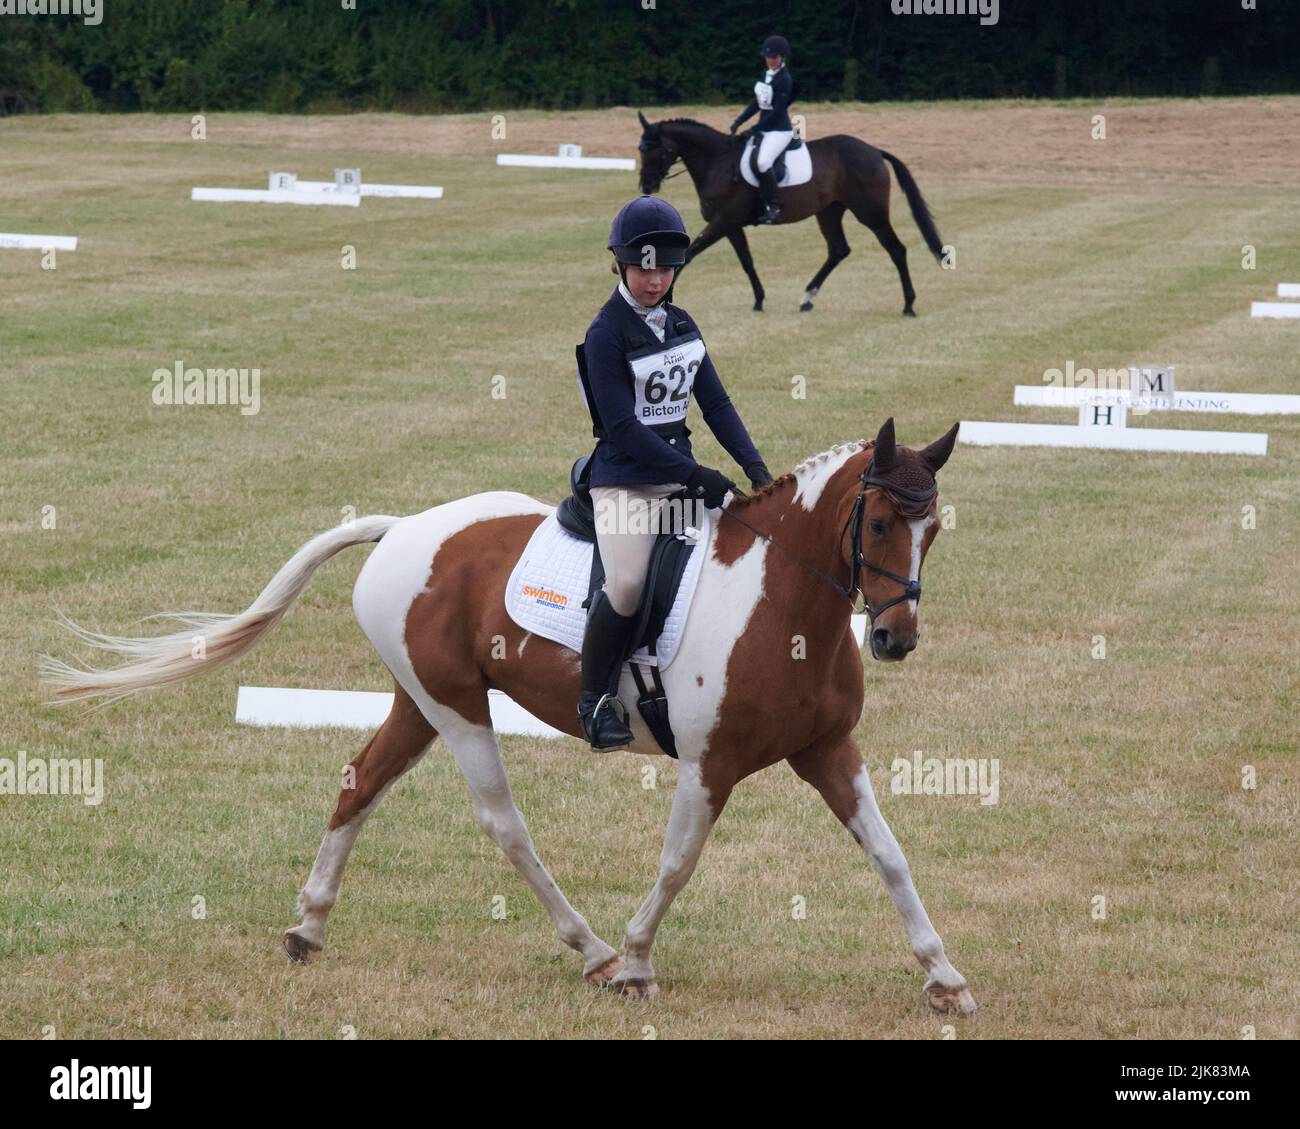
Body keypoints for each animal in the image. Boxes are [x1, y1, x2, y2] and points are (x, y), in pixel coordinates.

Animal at [40, 416, 977, 1014]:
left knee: (358, 783)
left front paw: (943, 976)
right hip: (456, 711)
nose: (894, 638)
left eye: (934, 531)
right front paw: (637, 963)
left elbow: (891, 856)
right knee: (503, 822)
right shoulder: (708, 764)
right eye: (881, 521)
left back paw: (308, 925)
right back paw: (592, 949)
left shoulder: (829, 749)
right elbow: (677, 863)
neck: (779, 600)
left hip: (419, 702)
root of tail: (404, 530)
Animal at [639, 113, 946, 314]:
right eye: (640, 150)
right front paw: (759, 300)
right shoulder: (731, 225)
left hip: (870, 213)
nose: (645, 187)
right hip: (829, 212)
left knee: (896, 249)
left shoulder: (723, 221)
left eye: (656, 152)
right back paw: (807, 298)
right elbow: (747, 261)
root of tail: (874, 151)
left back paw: (908, 305)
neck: (718, 162)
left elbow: (688, 255)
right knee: (839, 250)